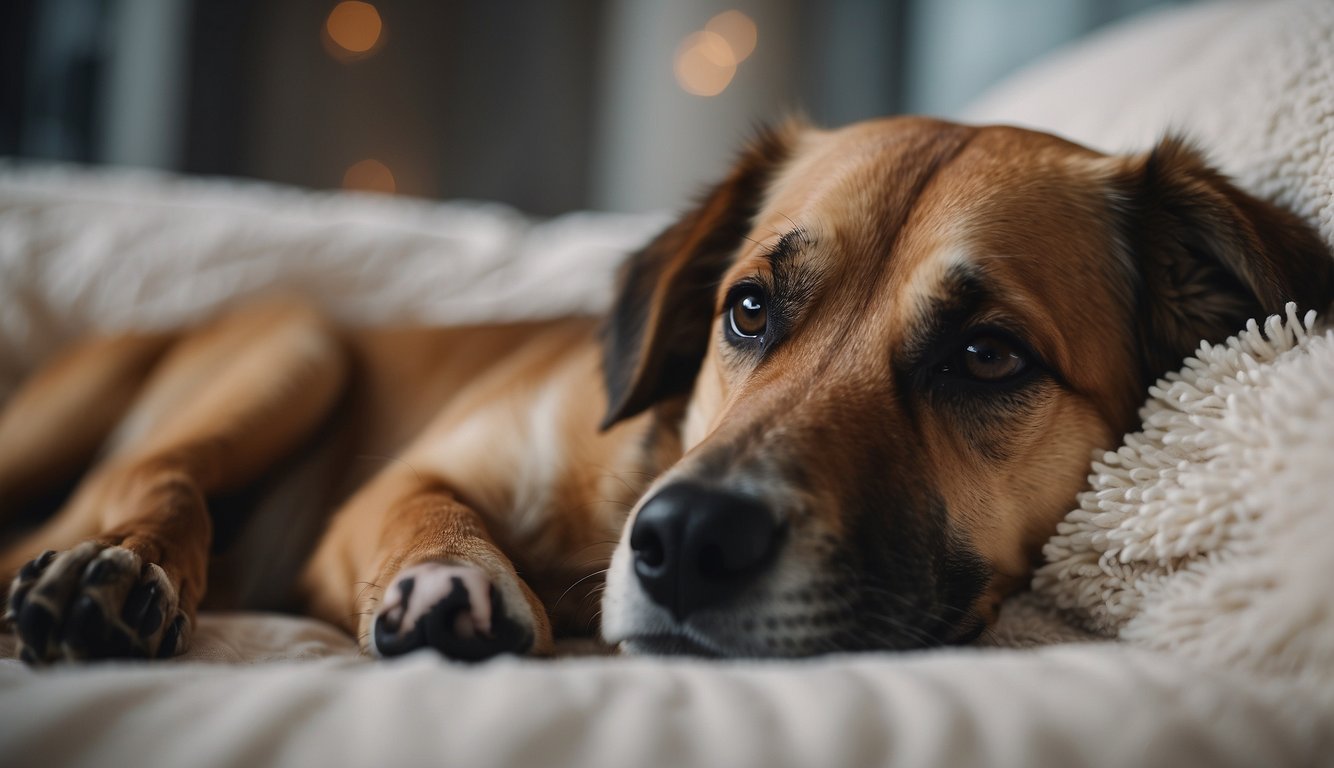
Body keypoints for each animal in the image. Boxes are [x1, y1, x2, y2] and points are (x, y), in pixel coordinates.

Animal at [0, 117, 1328, 664]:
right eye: (748, 309)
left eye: (987, 355)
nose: (682, 540)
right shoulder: (386, 491)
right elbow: (423, 507)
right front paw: (450, 577)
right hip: (298, 345)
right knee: (149, 478)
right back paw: (113, 570)